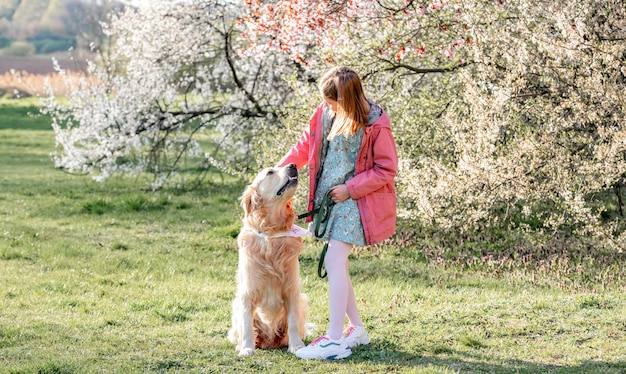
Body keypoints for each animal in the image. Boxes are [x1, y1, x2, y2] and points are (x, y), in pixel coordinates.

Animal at [227, 163, 310, 356]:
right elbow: (247, 325)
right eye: (270, 172)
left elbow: (293, 321)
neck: (272, 233)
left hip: (302, 301)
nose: (293, 165)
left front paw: (297, 346)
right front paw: (247, 348)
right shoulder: (247, 293)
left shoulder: (292, 289)